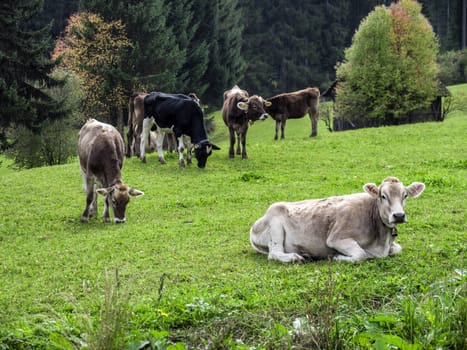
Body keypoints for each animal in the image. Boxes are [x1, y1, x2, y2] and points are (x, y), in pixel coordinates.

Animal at [250, 178, 426, 262]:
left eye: (405, 195)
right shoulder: (336, 238)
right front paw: (338, 257)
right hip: (275, 223)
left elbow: (398, 249)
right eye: (383, 196)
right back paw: (294, 257)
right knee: (274, 253)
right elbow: (361, 254)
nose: (399, 215)